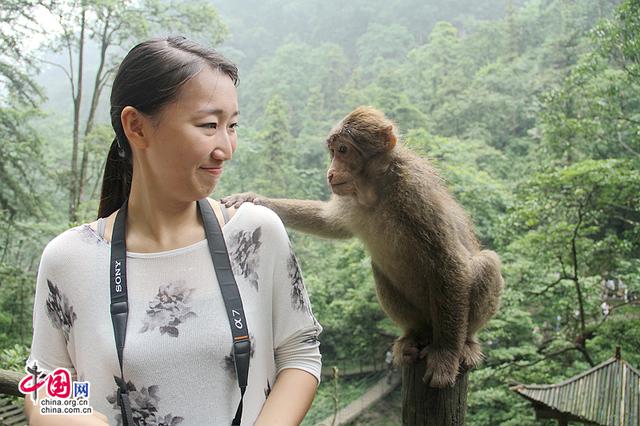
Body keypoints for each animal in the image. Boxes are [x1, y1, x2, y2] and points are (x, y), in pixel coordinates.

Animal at [222, 107, 502, 390]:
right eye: (333, 151)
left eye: (344, 150)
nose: (330, 172)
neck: (377, 191)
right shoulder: (352, 200)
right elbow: (329, 221)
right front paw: (255, 199)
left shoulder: (417, 193)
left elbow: (448, 261)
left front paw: (446, 356)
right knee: (380, 269)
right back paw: (412, 335)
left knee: (487, 263)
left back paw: (465, 343)